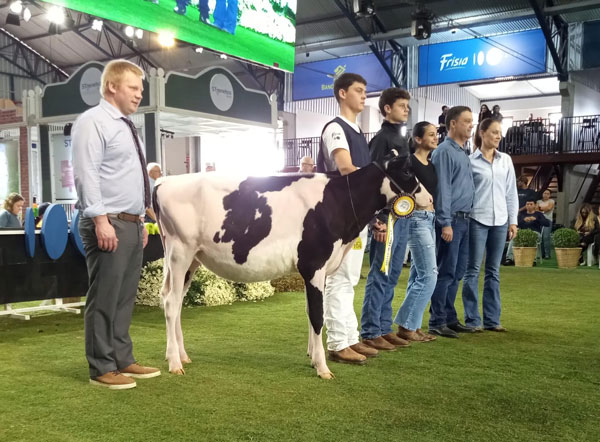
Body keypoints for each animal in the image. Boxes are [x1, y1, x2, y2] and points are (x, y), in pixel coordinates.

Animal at [153, 153, 431, 379]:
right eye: (408, 172)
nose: (430, 198)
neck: (338, 202)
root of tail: (164, 182)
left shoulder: (318, 271)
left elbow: (310, 312)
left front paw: (312, 357)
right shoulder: (314, 264)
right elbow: (318, 316)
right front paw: (323, 368)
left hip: (192, 259)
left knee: (175, 300)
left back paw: (181, 354)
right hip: (180, 252)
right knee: (171, 302)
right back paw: (175, 363)